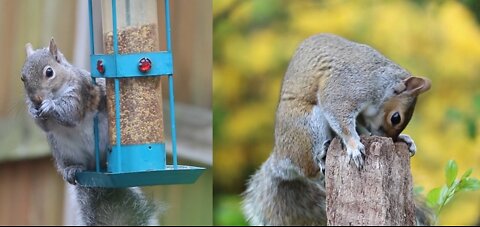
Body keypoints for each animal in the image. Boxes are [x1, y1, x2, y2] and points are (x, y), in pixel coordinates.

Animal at [21, 38, 158, 225]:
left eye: (49, 72)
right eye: (22, 77)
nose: (36, 100)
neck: (57, 92)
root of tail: (95, 168)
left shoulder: (80, 92)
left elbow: (70, 114)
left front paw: (50, 106)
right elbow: (45, 126)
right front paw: (33, 111)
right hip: (64, 151)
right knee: (76, 164)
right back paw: (73, 169)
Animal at [242, 33, 434, 225]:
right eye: (396, 118)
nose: (389, 139)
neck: (380, 82)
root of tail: (279, 157)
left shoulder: (362, 114)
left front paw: (404, 138)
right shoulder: (346, 87)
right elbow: (339, 115)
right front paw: (354, 146)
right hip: (308, 125)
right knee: (311, 171)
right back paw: (321, 155)